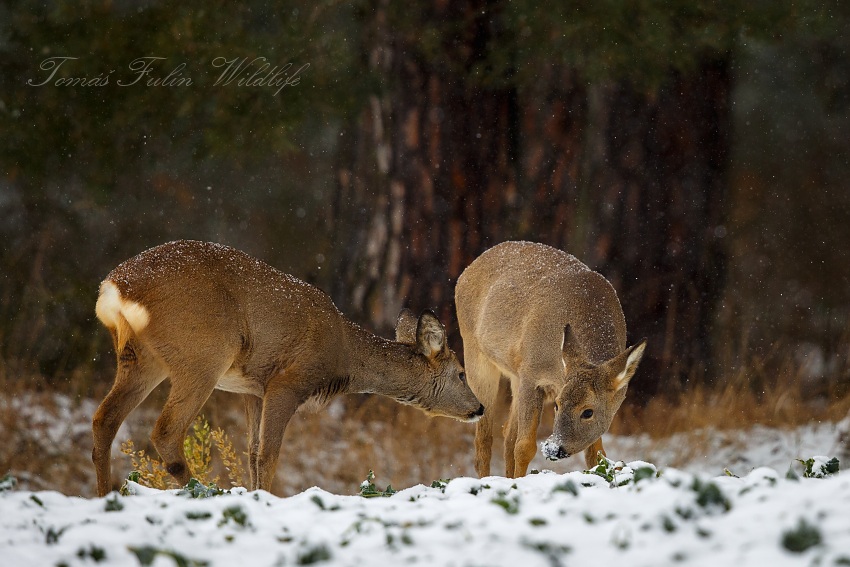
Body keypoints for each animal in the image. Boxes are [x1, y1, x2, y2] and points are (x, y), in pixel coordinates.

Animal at [92, 239, 483, 496]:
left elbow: (251, 452)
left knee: (104, 419)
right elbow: (268, 454)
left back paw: (105, 495)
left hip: (139, 357)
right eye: (462, 373)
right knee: (165, 431)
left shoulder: (253, 389)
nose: (479, 407)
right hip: (203, 354)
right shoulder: (288, 380)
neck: (343, 354)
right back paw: (199, 489)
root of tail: (114, 288)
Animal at [455, 240, 646, 478]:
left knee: (507, 434)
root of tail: (467, 270)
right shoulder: (531, 375)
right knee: (484, 439)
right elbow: (524, 447)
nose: (554, 448)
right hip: (476, 352)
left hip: (514, 375)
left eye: (588, 411)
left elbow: (597, 453)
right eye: (557, 404)